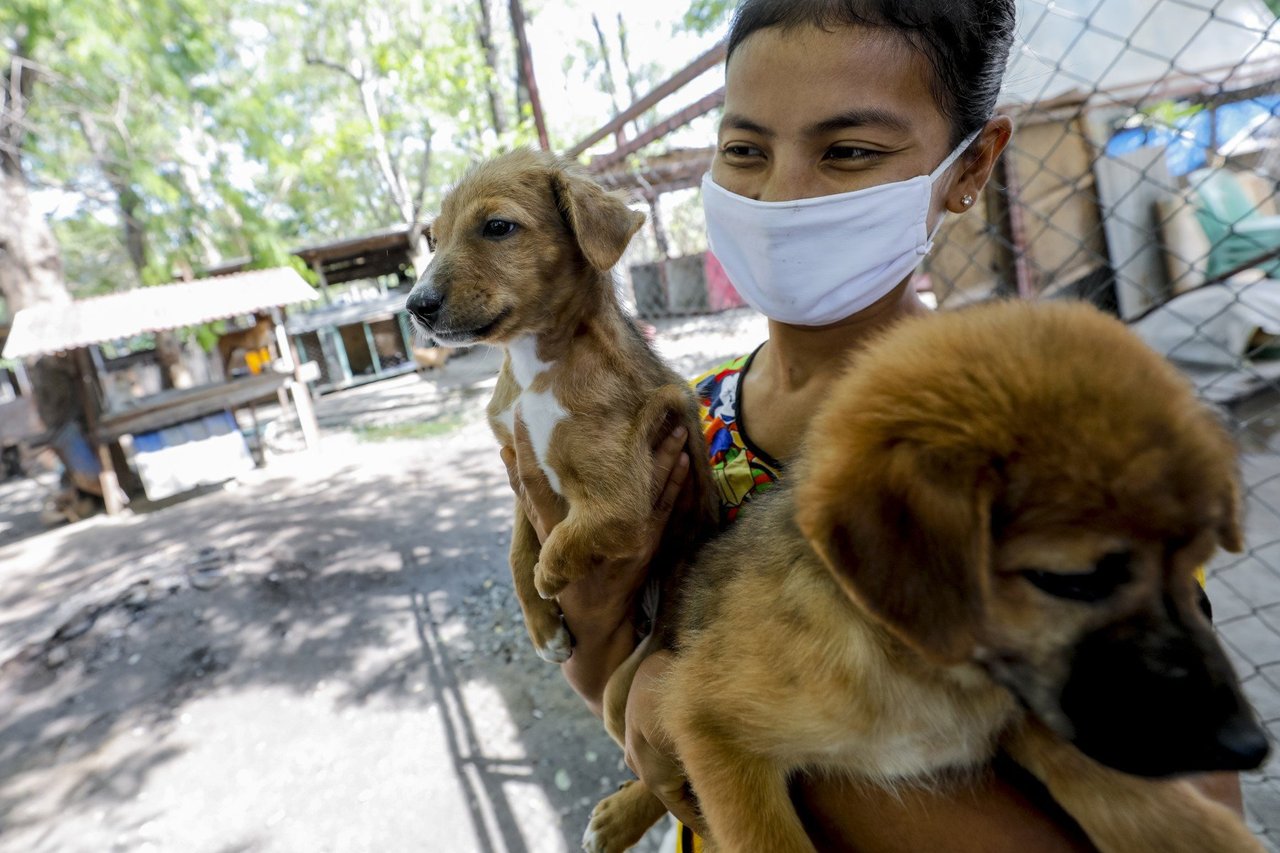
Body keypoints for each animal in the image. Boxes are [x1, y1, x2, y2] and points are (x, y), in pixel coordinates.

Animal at [404, 146, 716, 671]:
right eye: (432, 239)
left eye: (498, 227)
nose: (415, 306)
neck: (537, 365)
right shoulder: (516, 467)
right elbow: (516, 551)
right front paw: (544, 628)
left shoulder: (621, 501)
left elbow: (559, 543)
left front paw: (548, 581)